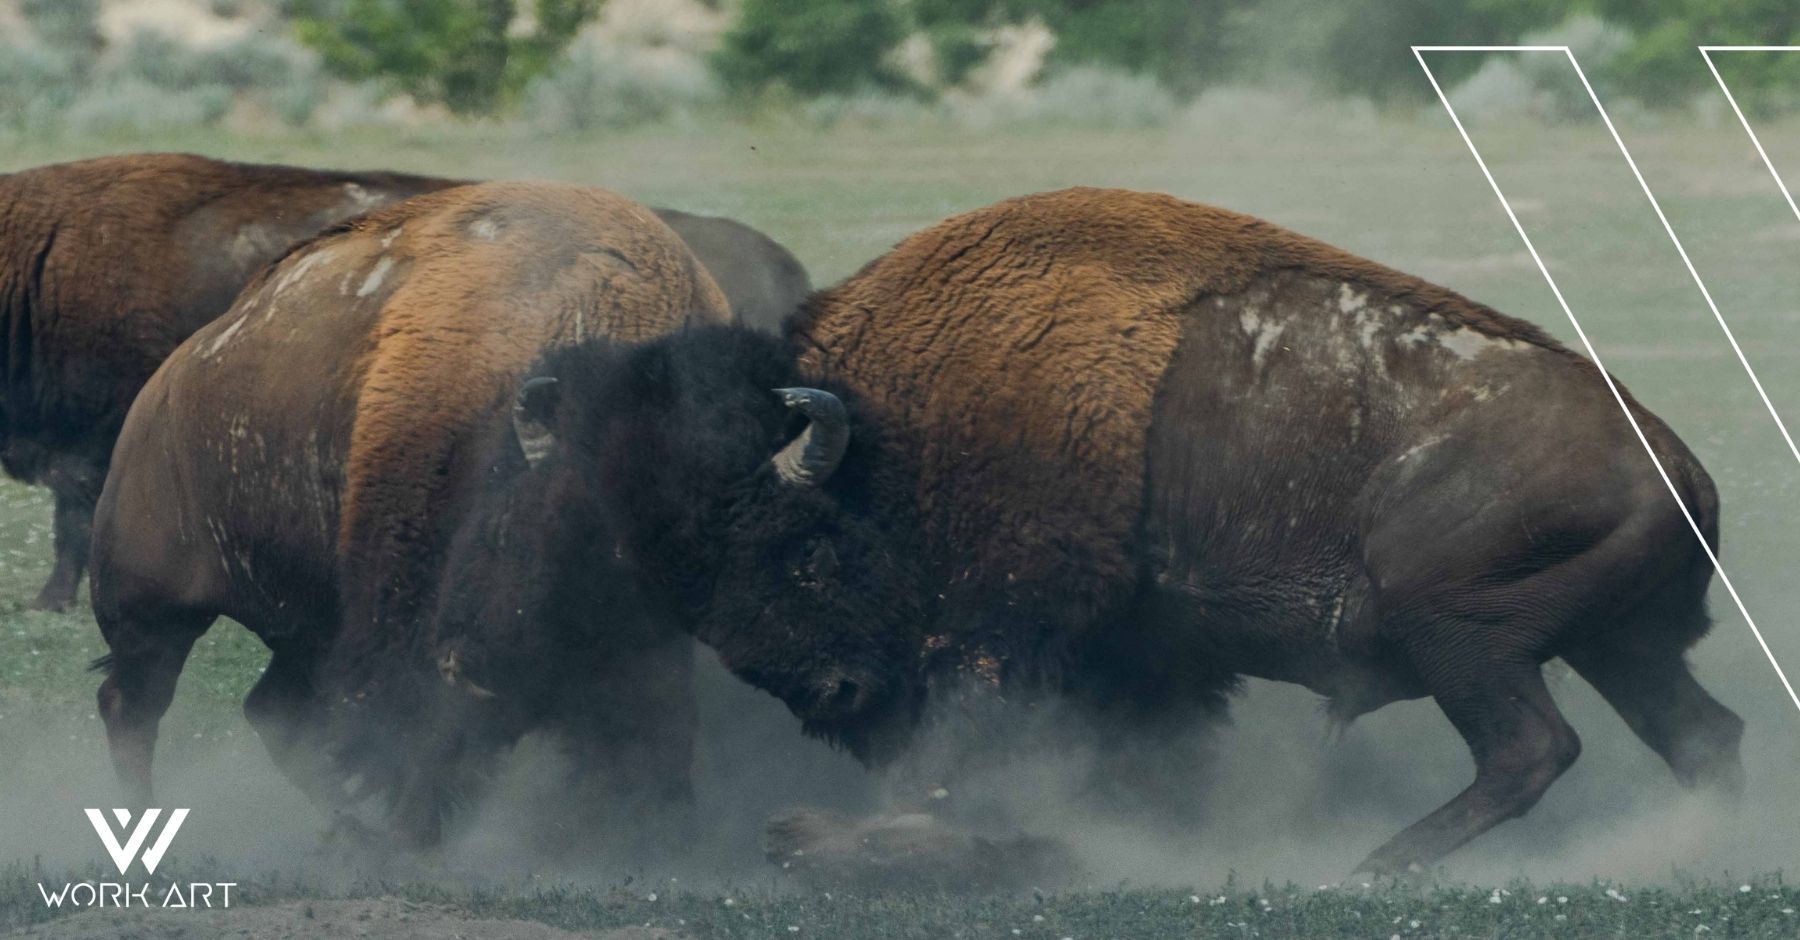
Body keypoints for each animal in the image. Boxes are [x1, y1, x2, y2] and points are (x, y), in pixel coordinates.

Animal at [89, 179, 723, 846]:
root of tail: (164, 384)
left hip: (304, 628)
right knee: (133, 705)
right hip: (151, 612)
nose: (474, 668)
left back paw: (353, 830)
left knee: (271, 712)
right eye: (505, 530)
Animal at [435, 186, 1742, 875]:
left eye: (795, 545)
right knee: (1698, 733)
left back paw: (1369, 865)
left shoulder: (1005, 628)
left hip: (1462, 633)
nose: (833, 692)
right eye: (686, 587)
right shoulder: (1144, 656)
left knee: (1531, 747)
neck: (892, 427)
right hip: (1613, 645)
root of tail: (1678, 465)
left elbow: (977, 730)